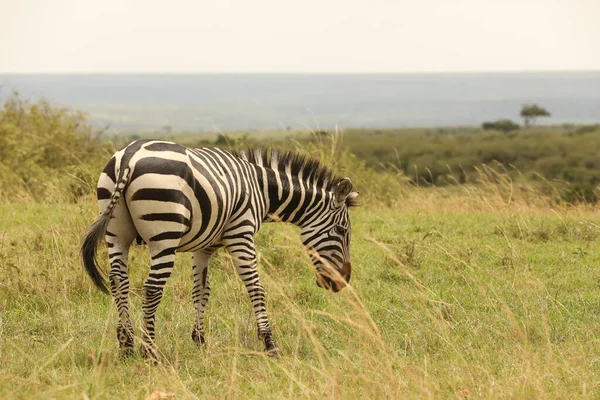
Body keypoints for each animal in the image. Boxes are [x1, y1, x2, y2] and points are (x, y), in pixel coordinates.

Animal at [82, 140, 358, 360]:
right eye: (341, 230)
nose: (343, 281)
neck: (262, 189)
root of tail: (129, 156)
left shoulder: (205, 247)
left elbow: (201, 291)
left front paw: (200, 339)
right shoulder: (241, 233)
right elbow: (256, 288)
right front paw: (270, 344)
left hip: (116, 233)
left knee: (119, 281)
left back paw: (126, 346)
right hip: (164, 235)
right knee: (151, 289)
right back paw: (150, 352)